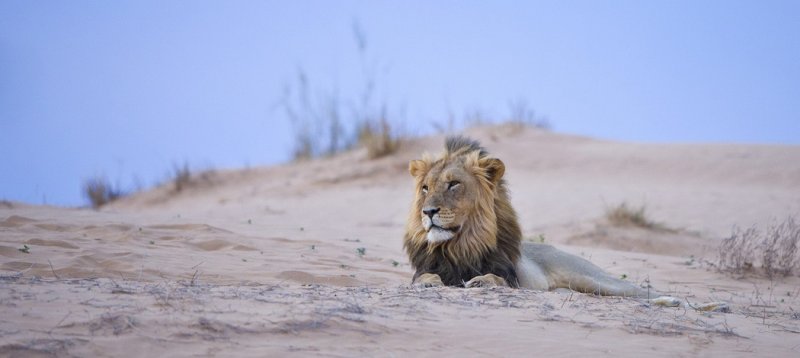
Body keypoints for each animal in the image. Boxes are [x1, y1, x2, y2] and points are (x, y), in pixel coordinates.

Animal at [404, 136, 664, 298]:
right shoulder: (425, 268)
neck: (461, 245)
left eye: (453, 184)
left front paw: (481, 281)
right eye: (425, 188)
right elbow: (423, 276)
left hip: (593, 279)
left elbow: (495, 278)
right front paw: (429, 282)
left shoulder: (512, 279)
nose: (428, 212)